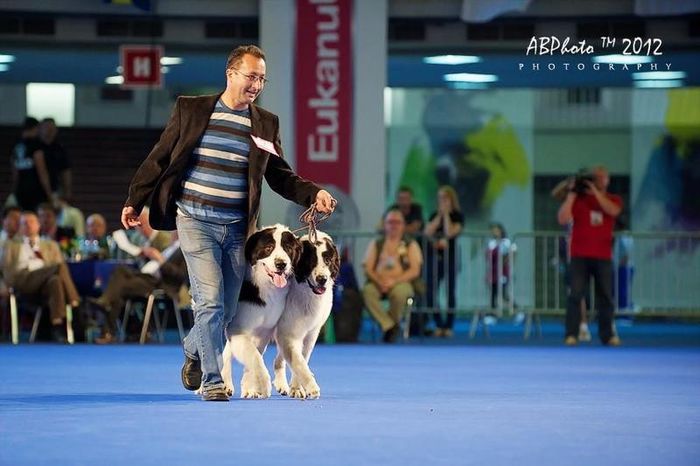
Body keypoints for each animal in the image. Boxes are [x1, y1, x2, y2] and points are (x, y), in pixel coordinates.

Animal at [223, 224, 302, 398]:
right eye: (268, 248)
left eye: (288, 249)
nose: (281, 264)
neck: (264, 286)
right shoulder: (238, 329)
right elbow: (254, 357)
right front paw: (263, 385)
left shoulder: (264, 331)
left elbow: (254, 356)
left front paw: (251, 388)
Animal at [274, 231, 340, 398]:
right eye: (310, 262)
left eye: (328, 260)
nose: (322, 279)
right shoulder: (289, 333)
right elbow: (298, 362)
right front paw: (308, 387)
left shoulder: (311, 333)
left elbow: (302, 357)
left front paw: (297, 387)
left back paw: (281, 385)